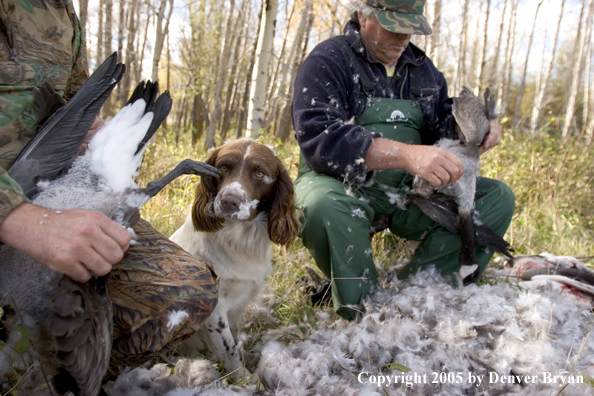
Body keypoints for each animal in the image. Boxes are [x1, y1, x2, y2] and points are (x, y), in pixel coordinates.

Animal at [169, 138, 298, 378]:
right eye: (223, 167)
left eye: (259, 173)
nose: (229, 201)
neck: (239, 238)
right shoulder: (214, 306)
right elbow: (228, 345)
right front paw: (241, 376)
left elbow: (235, 336)